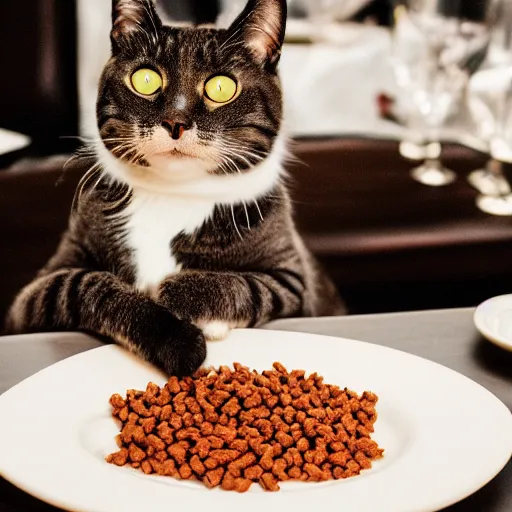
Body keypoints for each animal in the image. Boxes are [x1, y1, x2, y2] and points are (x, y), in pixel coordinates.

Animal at [4, 0, 344, 376]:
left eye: (221, 88)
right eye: (145, 79)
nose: (175, 121)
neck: (172, 196)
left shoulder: (296, 280)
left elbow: (251, 284)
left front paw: (180, 295)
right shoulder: (32, 296)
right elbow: (85, 284)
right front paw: (178, 342)